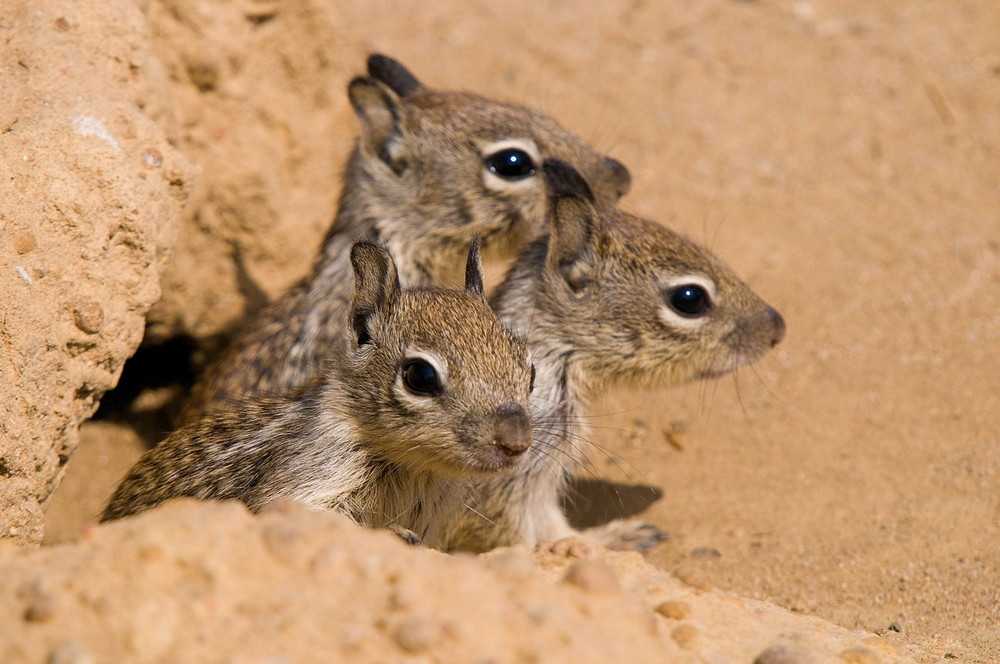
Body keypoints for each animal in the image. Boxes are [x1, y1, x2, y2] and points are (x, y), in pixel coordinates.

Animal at [442, 161, 784, 556]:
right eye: (689, 298)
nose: (778, 327)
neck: (553, 360)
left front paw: (614, 538)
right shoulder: (503, 492)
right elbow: (521, 539)